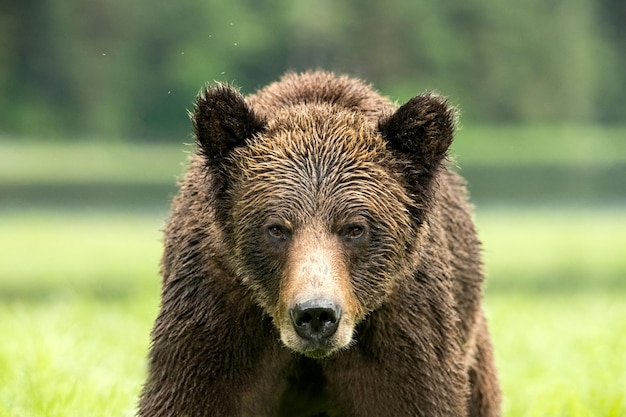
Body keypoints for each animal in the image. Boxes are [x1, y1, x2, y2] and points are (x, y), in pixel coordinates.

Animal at [139, 71, 500, 416]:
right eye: (276, 229)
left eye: (354, 228)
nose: (315, 314)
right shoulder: (217, 308)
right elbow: (193, 395)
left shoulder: (403, 322)